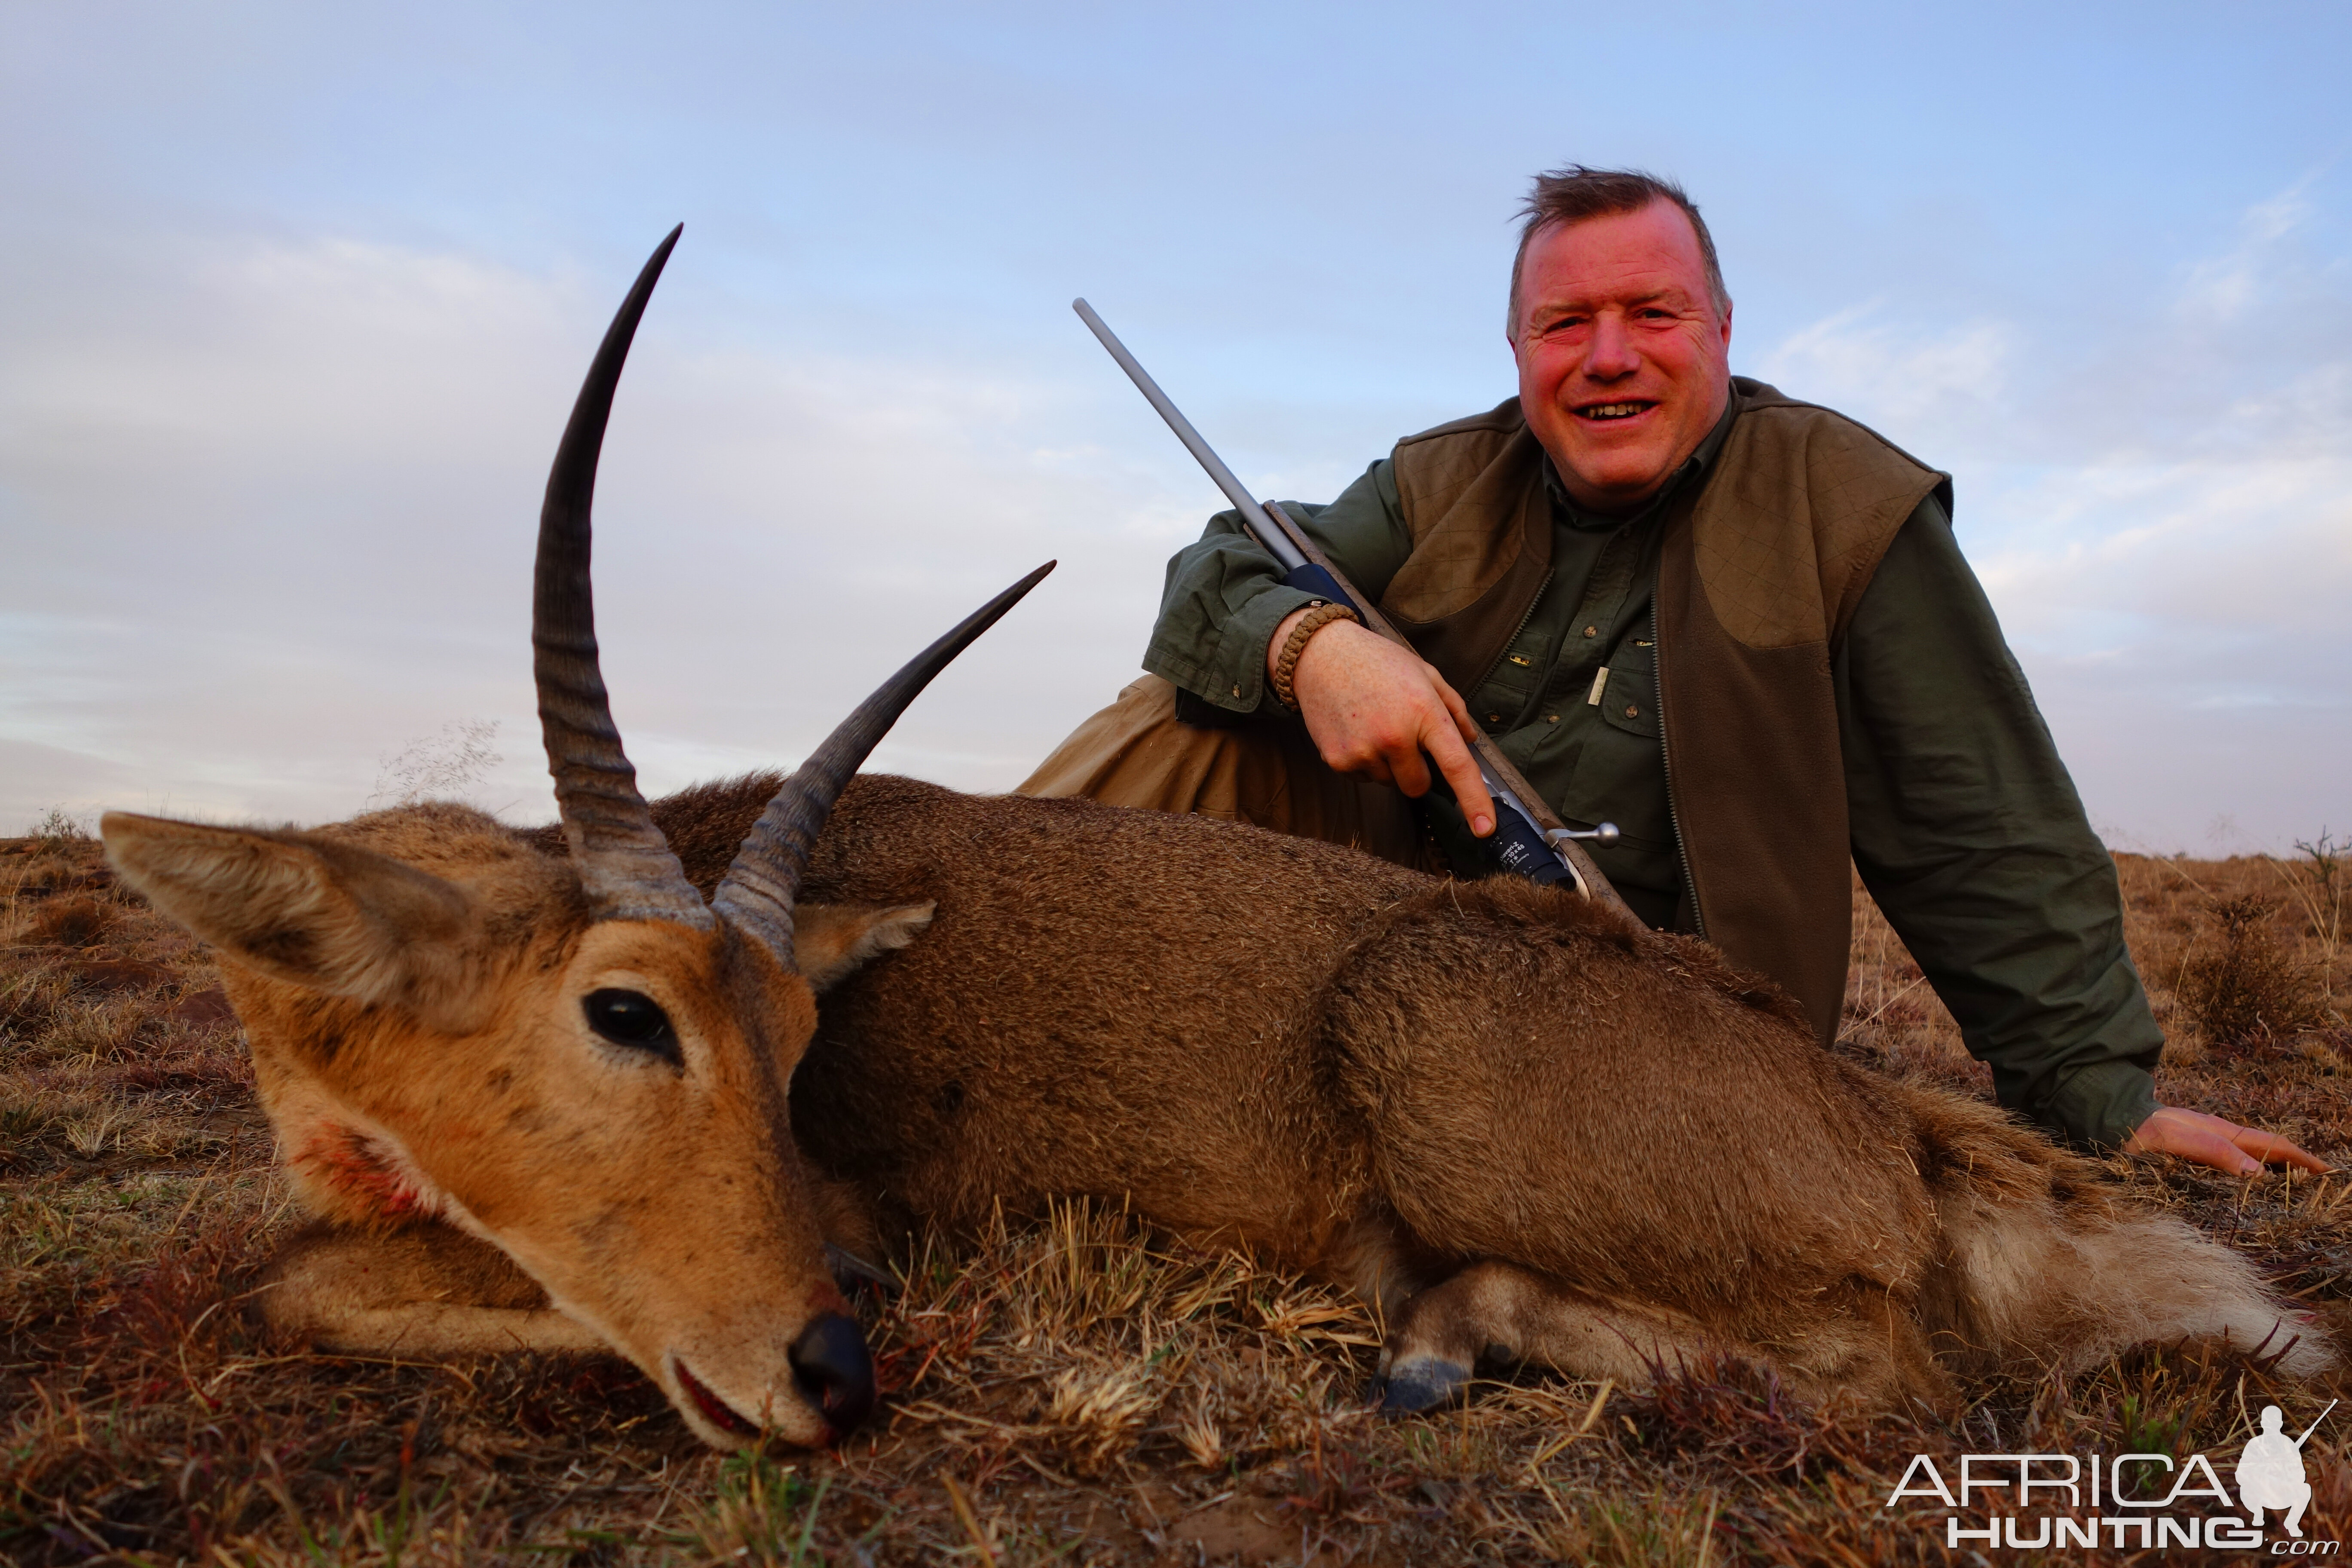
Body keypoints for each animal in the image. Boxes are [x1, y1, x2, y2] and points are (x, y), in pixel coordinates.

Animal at [106, 236, 2314, 1457]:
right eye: (630, 1012)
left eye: (788, 1046)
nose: (833, 1357)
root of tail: (1882, 1114)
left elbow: (301, 1281)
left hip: (1451, 1072)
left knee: (1893, 1360)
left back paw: (1432, 1338)